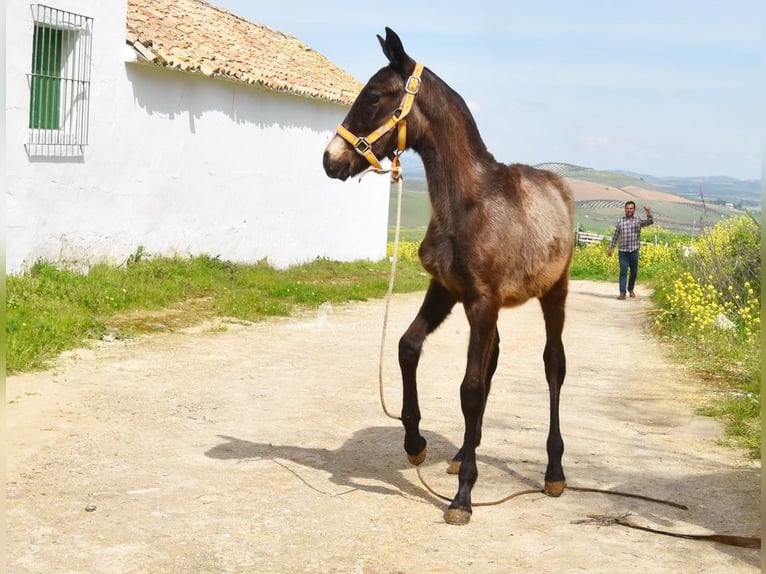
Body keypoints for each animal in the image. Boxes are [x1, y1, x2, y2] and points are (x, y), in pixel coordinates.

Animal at [323, 27, 574, 525]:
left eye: (374, 94)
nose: (330, 159)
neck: (467, 204)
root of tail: (560, 188)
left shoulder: (481, 302)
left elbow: (470, 388)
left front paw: (462, 498)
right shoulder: (448, 290)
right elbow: (408, 347)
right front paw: (415, 443)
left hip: (554, 292)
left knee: (553, 365)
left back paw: (553, 471)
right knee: (493, 361)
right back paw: (462, 452)